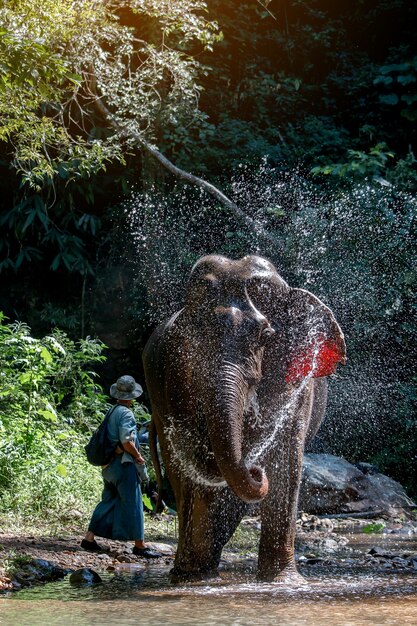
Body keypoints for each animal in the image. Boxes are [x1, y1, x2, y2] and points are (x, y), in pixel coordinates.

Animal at [143, 254, 344, 580]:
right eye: (194, 339)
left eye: (265, 336)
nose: (255, 470)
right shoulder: (173, 377)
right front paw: (194, 577)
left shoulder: (299, 385)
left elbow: (286, 458)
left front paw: (283, 582)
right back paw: (194, 570)